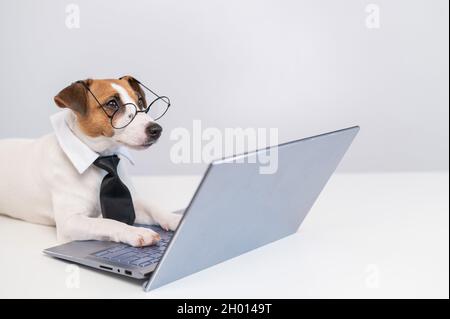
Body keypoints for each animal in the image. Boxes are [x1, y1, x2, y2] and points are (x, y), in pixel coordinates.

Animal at [0, 77, 183, 248]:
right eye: (112, 103)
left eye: (139, 101)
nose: (156, 130)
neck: (102, 158)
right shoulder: (70, 222)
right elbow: (108, 222)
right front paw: (135, 231)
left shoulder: (134, 202)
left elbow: (153, 207)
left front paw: (176, 219)